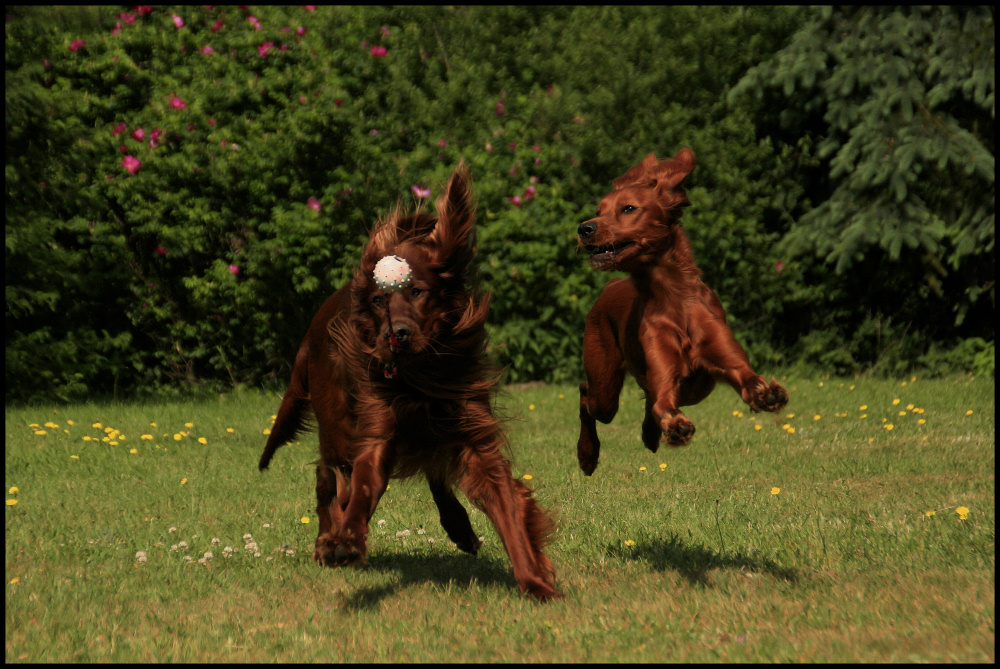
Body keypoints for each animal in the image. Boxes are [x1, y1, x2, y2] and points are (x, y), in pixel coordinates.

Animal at [260, 163, 564, 600]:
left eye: (418, 291)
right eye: (377, 301)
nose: (396, 335)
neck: (422, 377)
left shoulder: (474, 436)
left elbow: (509, 514)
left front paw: (535, 581)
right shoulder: (376, 433)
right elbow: (361, 488)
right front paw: (346, 540)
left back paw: (459, 527)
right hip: (337, 423)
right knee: (329, 476)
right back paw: (326, 539)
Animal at [580, 149, 788, 472]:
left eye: (628, 208)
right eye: (599, 210)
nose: (584, 228)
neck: (673, 298)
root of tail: (611, 284)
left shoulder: (731, 363)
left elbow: (750, 377)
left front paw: (768, 393)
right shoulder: (666, 378)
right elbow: (663, 402)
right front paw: (676, 426)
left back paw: (649, 435)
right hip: (605, 390)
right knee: (586, 396)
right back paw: (588, 455)